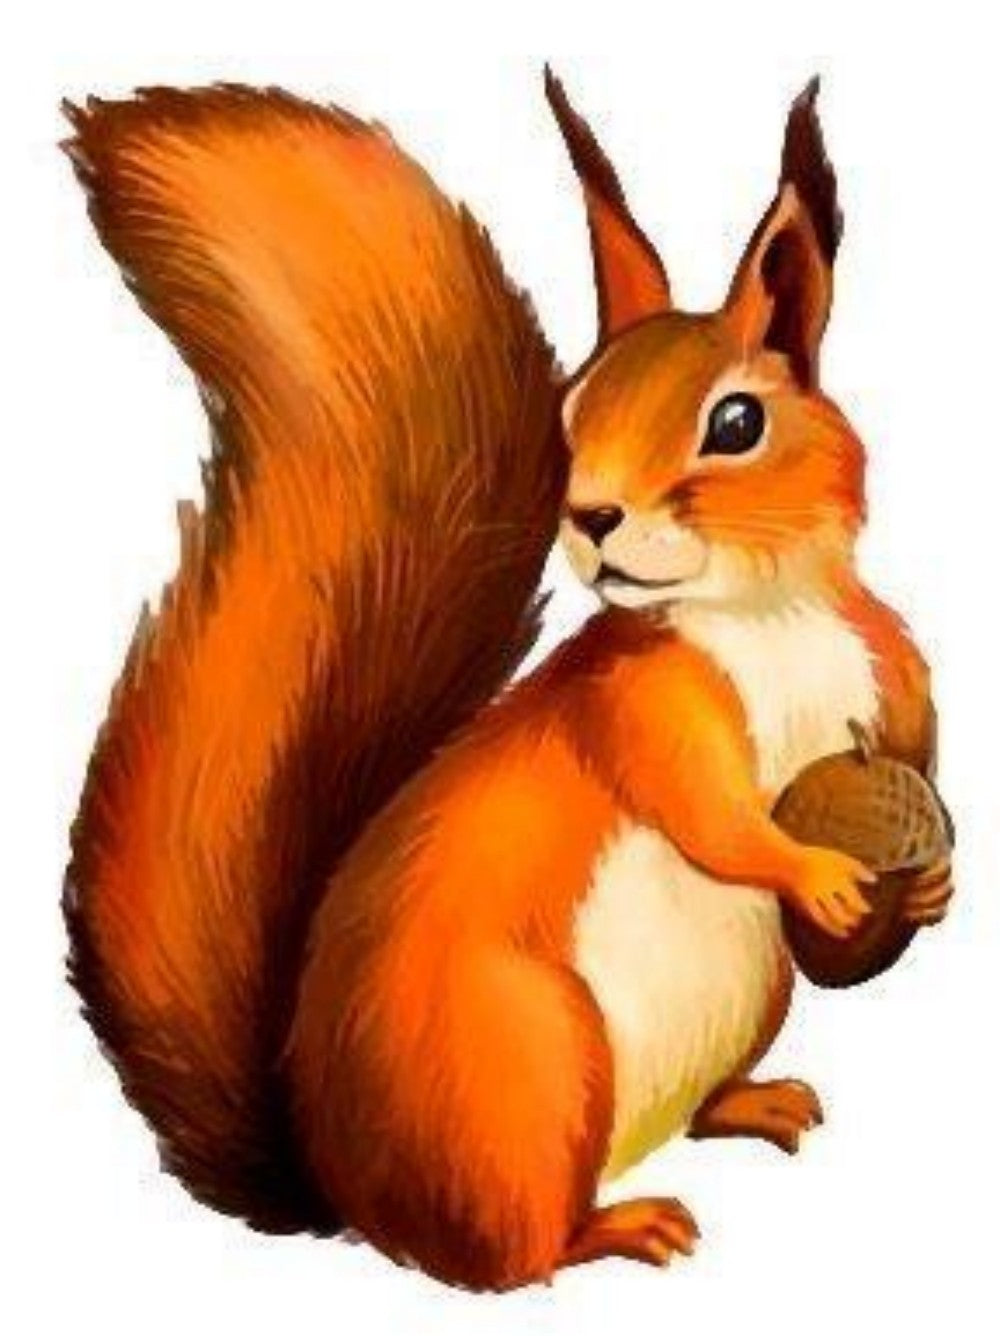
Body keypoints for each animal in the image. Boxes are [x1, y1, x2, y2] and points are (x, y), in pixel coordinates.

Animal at [64, 73, 950, 1291]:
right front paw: (811, 868)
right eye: (572, 411)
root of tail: (347, 1194)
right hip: (532, 1065)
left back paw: (751, 1103)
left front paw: (928, 887)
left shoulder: (896, 680)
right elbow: (711, 815)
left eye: (736, 421)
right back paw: (618, 1227)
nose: (590, 513)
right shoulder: (640, 710)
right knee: (516, 1255)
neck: (765, 613)